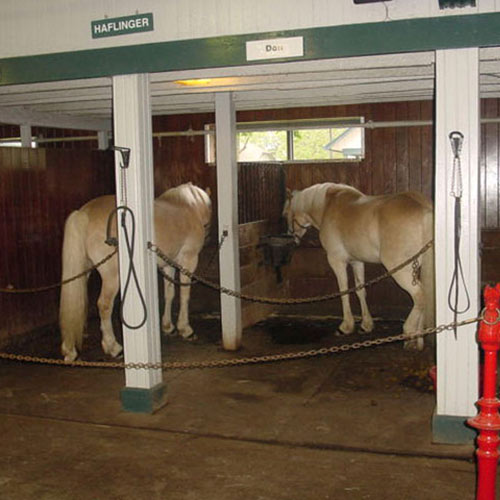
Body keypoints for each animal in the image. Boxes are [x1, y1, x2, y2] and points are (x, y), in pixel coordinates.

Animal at [284, 182, 436, 350]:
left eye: (285, 214)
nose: (291, 238)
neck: (327, 206)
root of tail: (424, 208)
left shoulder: (337, 261)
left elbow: (344, 291)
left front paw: (346, 327)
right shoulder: (356, 261)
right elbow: (360, 290)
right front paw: (366, 325)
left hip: (400, 268)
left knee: (419, 296)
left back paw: (409, 331)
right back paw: (417, 338)